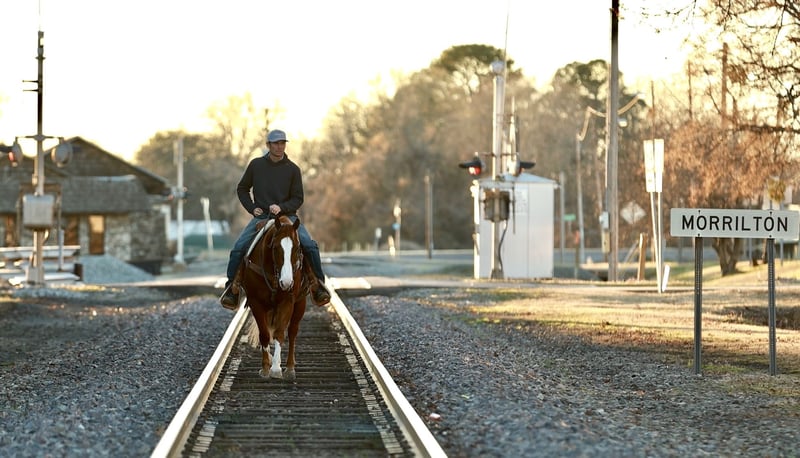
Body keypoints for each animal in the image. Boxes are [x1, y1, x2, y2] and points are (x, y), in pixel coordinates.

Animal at [233, 215, 309, 380]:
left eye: (297, 248)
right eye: (275, 248)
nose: (286, 282)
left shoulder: (287, 301)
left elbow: (280, 333)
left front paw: (275, 368)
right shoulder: (256, 303)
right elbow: (264, 335)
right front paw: (265, 368)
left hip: (300, 303)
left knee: (292, 331)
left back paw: (289, 368)